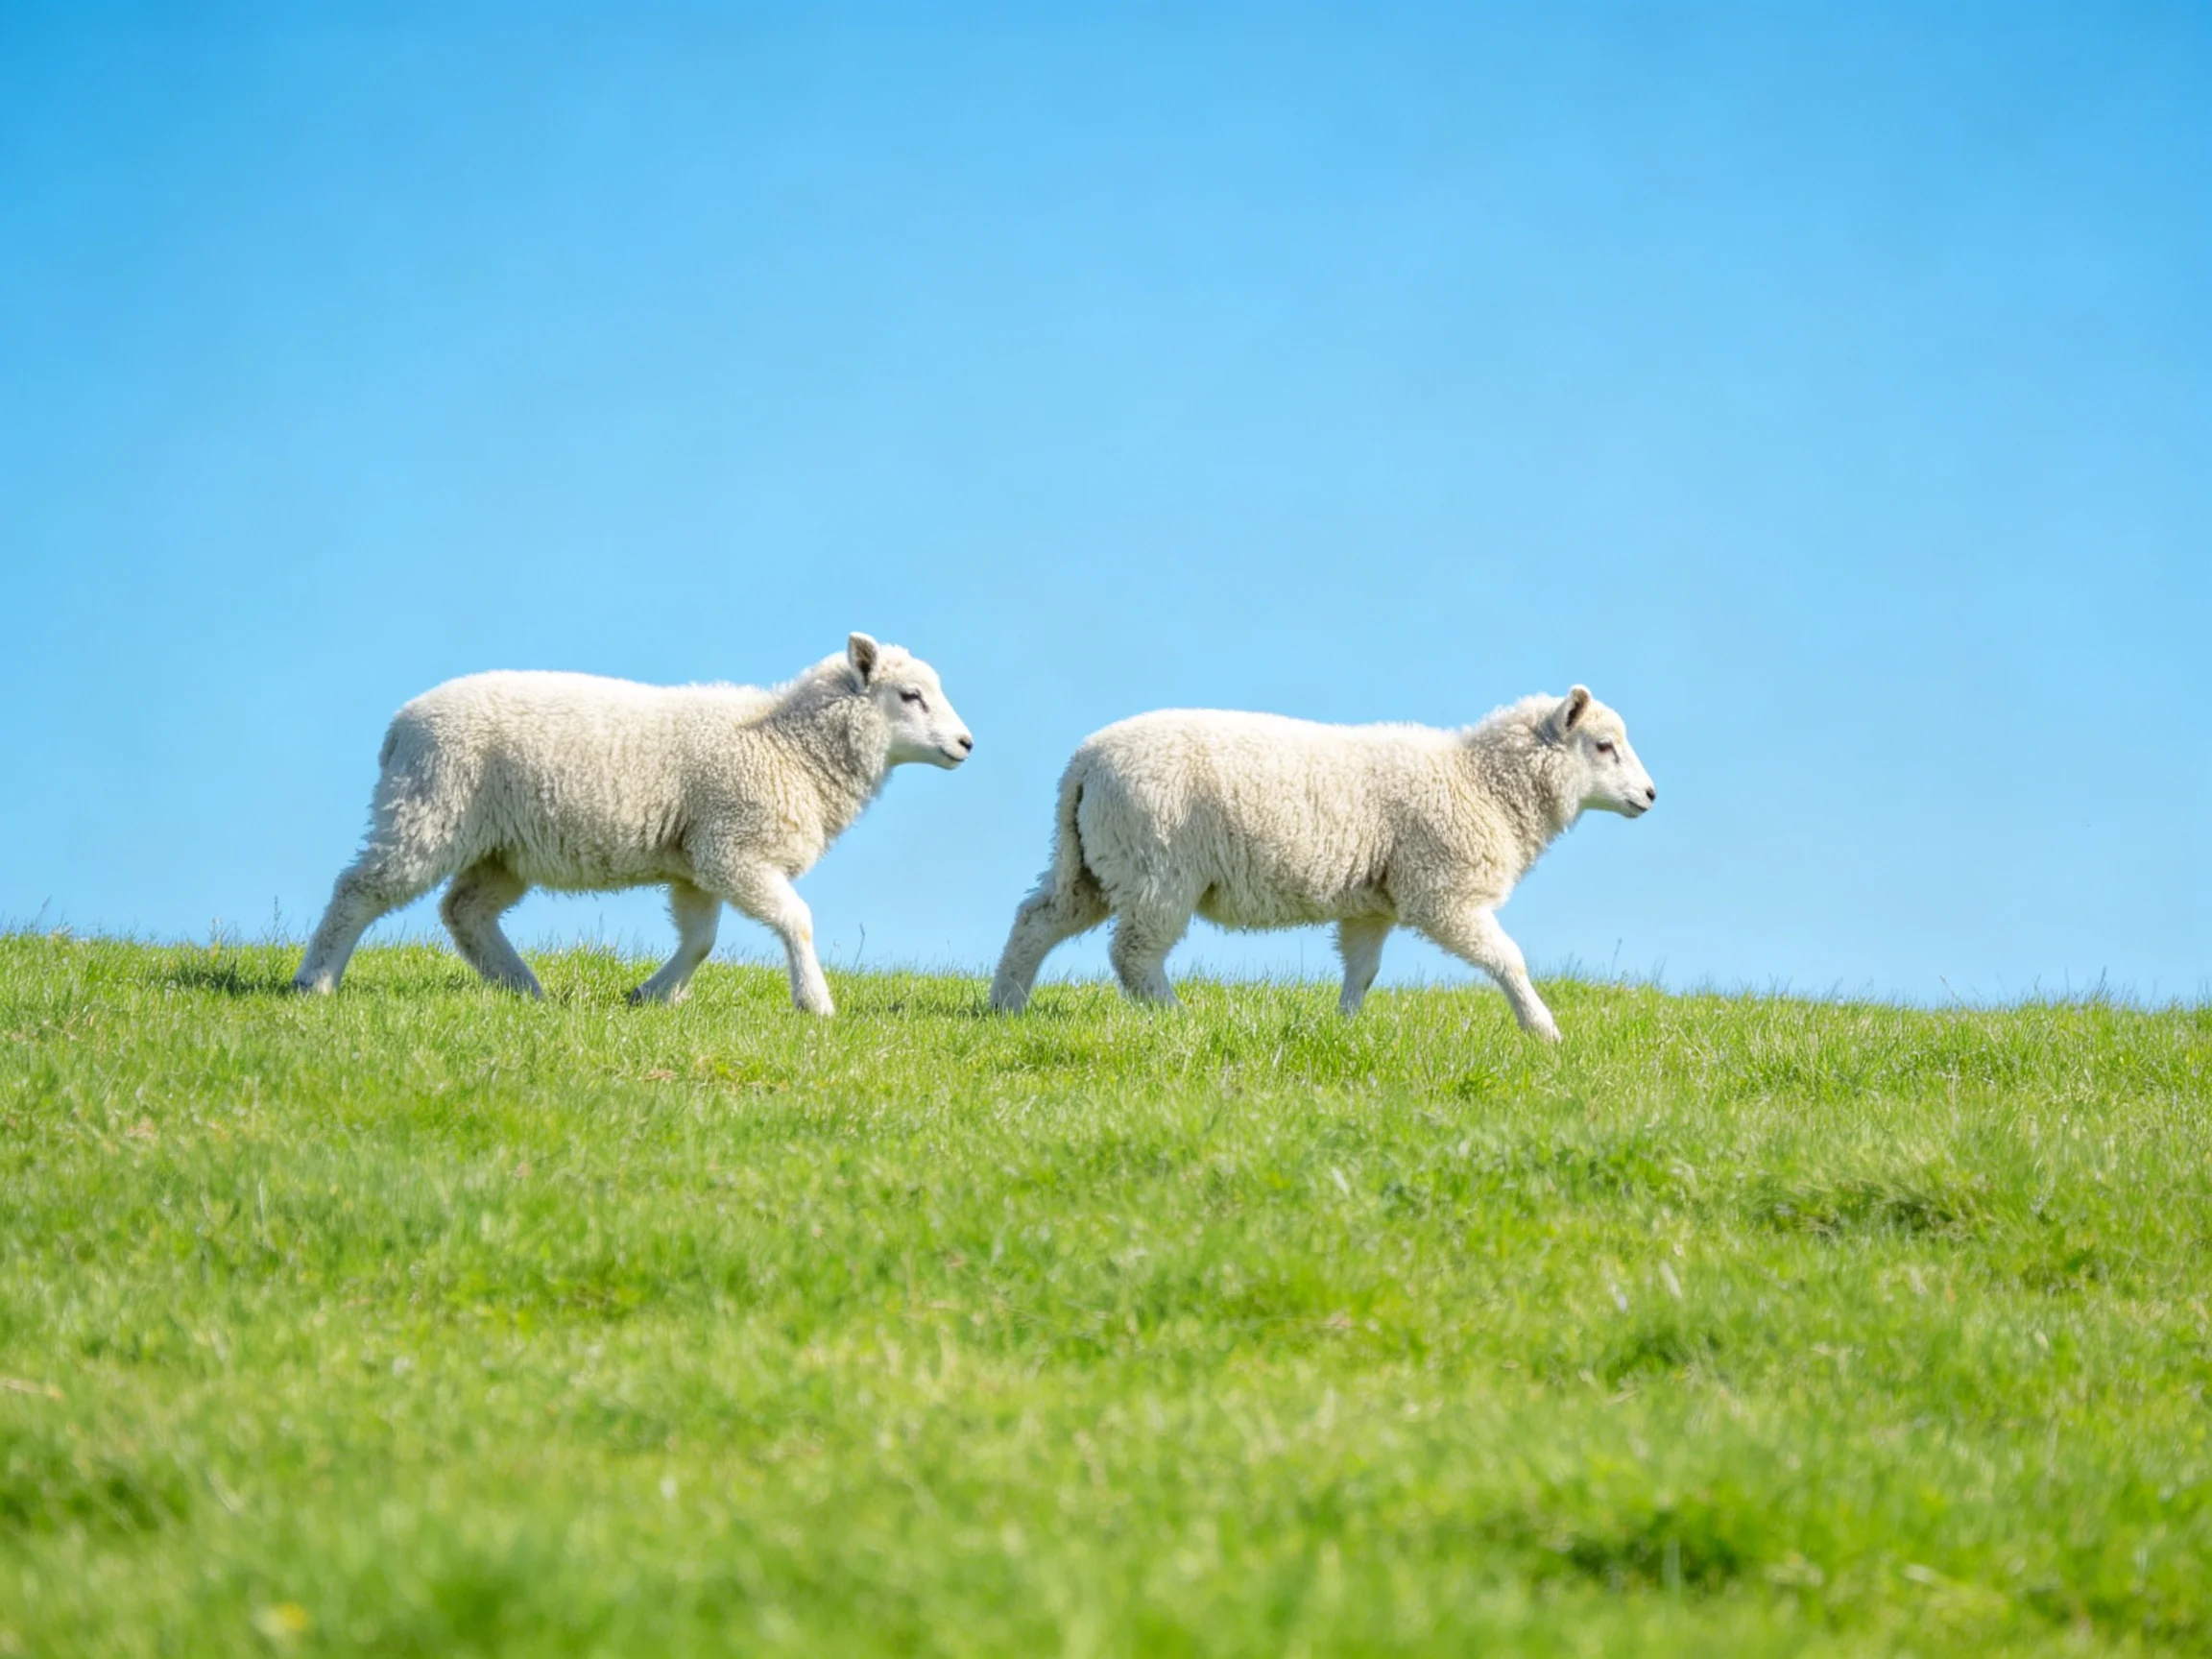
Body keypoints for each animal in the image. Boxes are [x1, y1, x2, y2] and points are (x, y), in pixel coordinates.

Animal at [293, 633, 974, 1014]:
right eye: (911, 696)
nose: (967, 743)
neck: (790, 745)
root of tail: (400, 726)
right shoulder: (733, 847)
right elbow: (797, 922)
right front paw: (817, 1003)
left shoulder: (699, 861)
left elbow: (701, 941)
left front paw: (652, 996)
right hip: (430, 808)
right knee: (360, 889)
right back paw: (315, 981)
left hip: (500, 845)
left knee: (464, 911)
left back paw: (523, 987)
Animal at [989, 687, 1655, 1041]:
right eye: (1604, 746)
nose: (1650, 796)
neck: (1481, 783)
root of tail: (1083, 763)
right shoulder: (1443, 893)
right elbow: (1508, 959)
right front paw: (1543, 1030)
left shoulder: (1373, 904)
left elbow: (1363, 971)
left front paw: (1346, 1029)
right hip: (1158, 868)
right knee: (1134, 956)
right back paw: (1178, 1017)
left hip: (1095, 862)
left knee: (1036, 919)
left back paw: (1005, 1005)